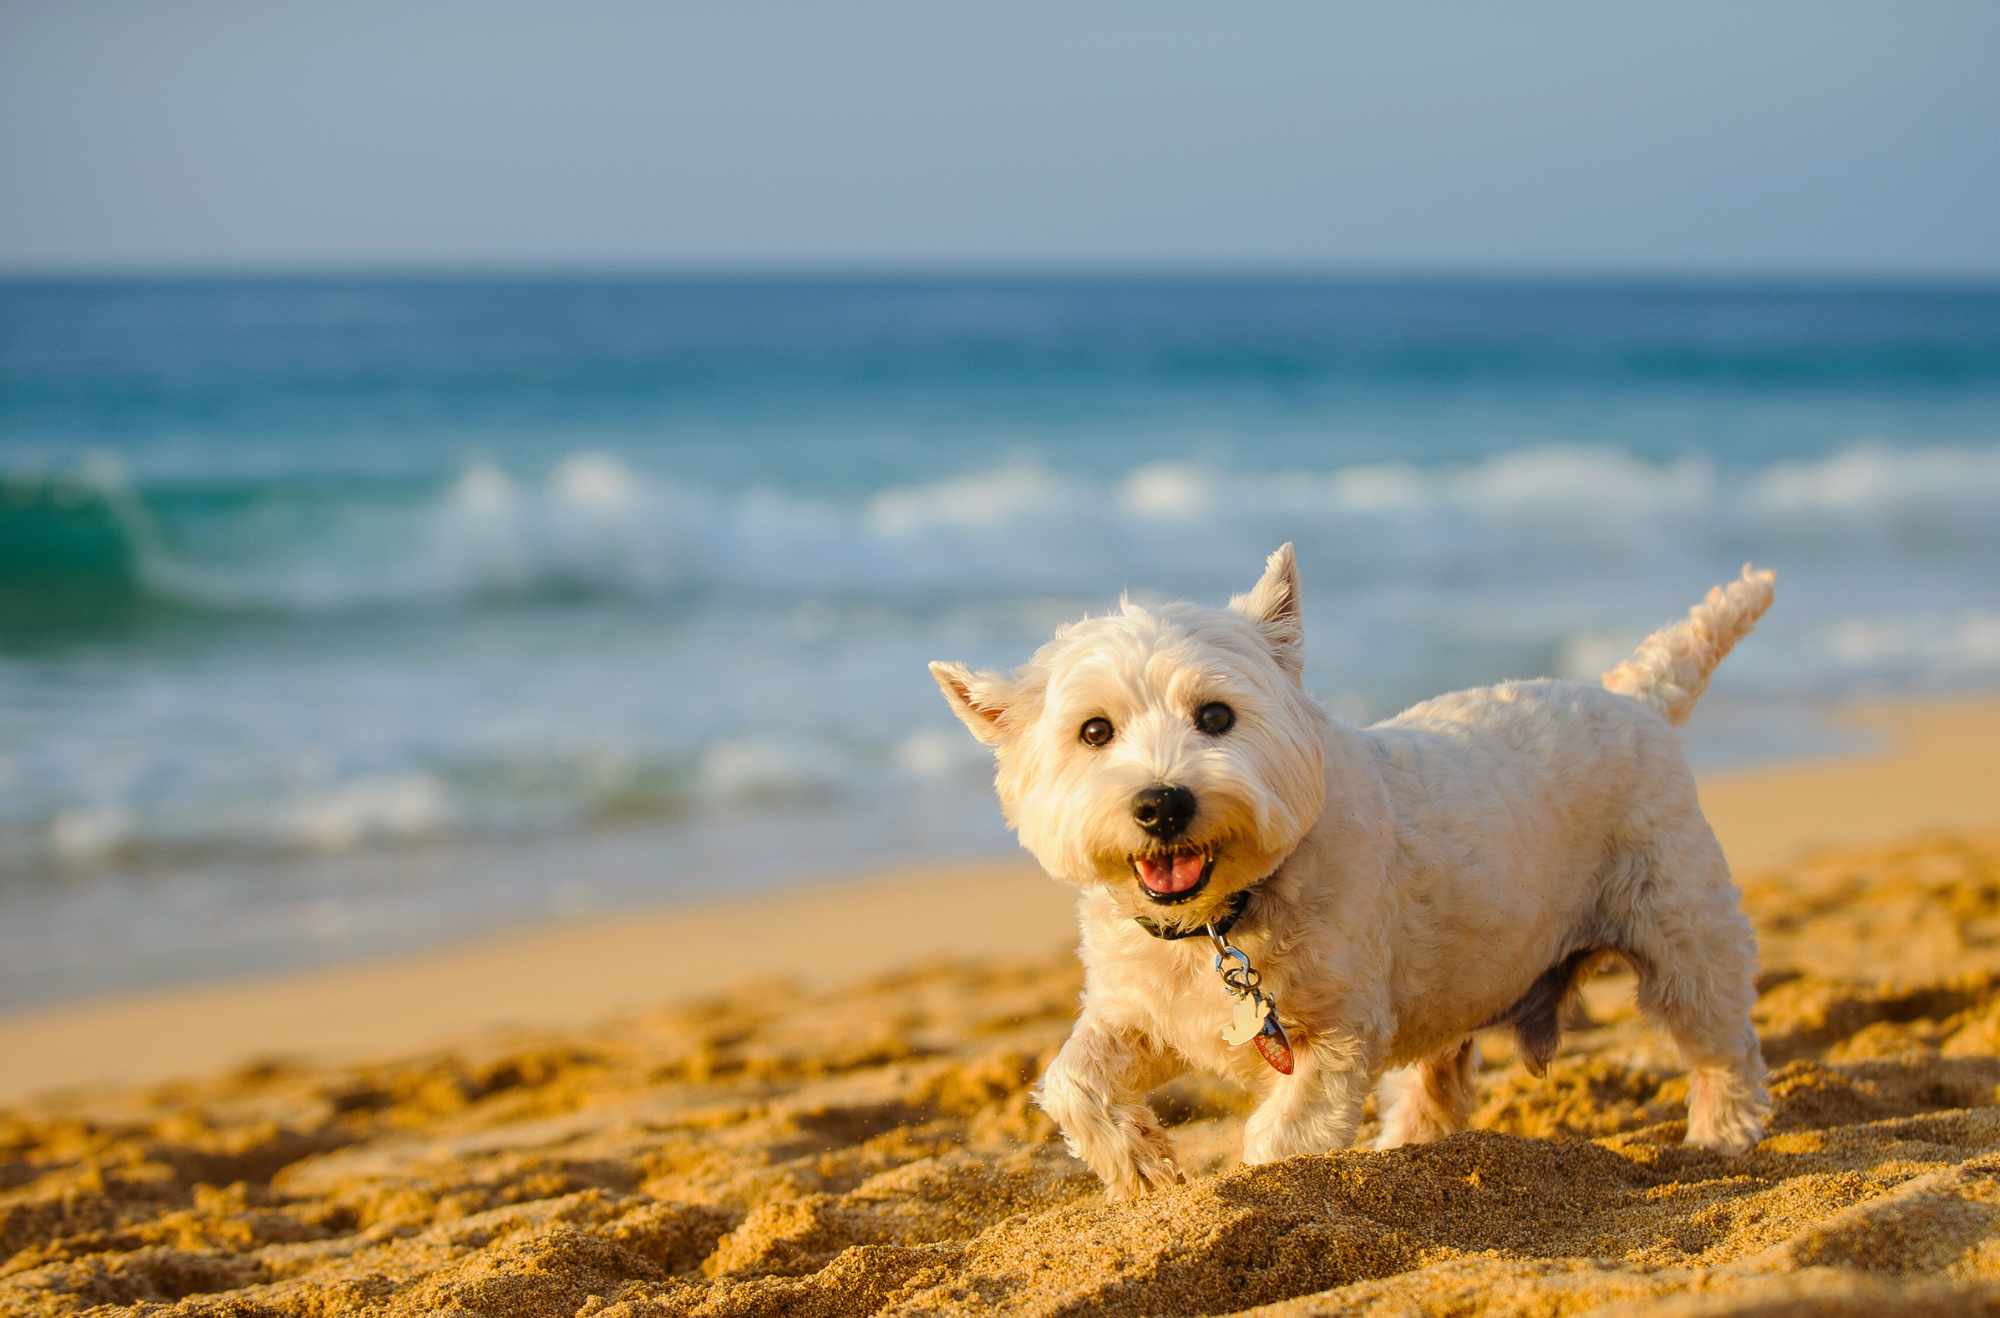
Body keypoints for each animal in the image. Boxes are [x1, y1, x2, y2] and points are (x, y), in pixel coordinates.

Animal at [928, 540, 1776, 1200]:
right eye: (1094, 732)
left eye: (1216, 716)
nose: (1163, 804)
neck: (1222, 919)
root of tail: (1637, 699)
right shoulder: (1141, 1010)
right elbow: (1073, 1081)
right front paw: (1143, 1170)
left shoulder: (1336, 1034)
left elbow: (1282, 1137)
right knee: (1436, 1081)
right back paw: (1407, 1148)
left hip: (1680, 928)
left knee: (1720, 1040)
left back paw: (1720, 1133)